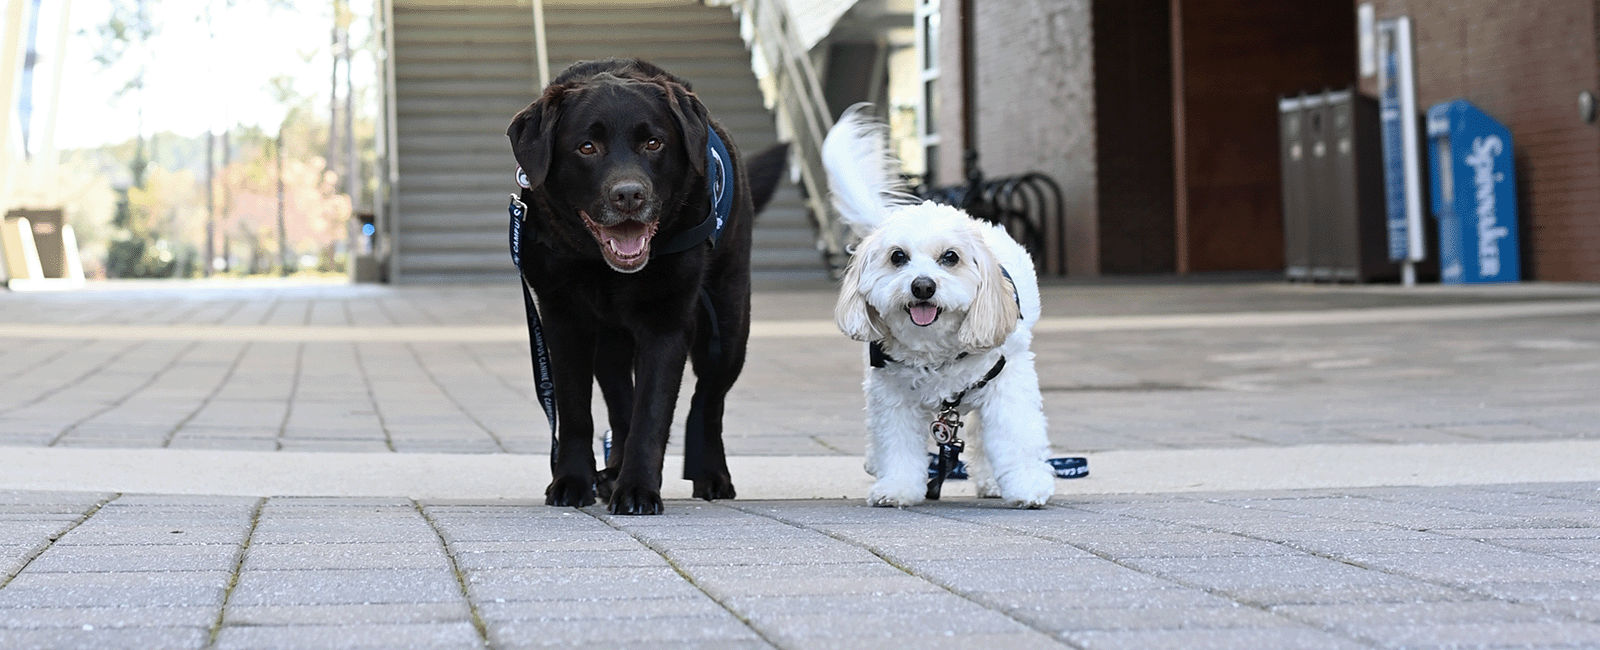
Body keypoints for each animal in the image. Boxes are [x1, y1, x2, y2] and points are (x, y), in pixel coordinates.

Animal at [825, 105, 1049, 509]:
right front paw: (897, 487)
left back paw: (991, 480)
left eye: (951, 257)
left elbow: (1015, 437)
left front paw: (1027, 486)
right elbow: (897, 444)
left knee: (979, 437)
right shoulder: (892, 395)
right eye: (898, 257)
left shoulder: (1006, 385)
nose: (923, 286)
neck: (935, 350)